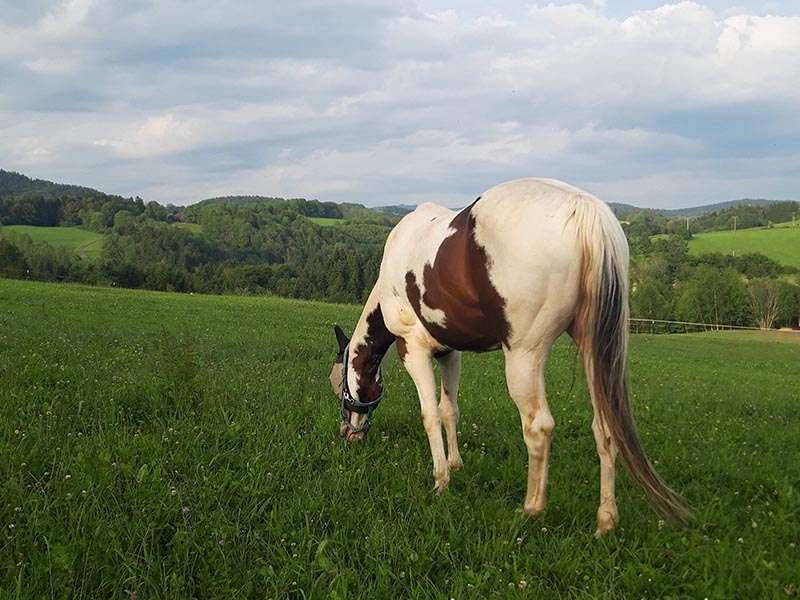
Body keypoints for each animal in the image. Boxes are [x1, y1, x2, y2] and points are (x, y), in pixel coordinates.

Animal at [328, 178, 692, 536]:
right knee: (604, 425)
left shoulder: (413, 350)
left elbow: (430, 415)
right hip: (593, 350)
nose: (349, 434)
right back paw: (605, 522)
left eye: (338, 386)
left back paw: (531, 509)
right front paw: (456, 464)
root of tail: (584, 209)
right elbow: (449, 410)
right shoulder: (450, 353)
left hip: (524, 357)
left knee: (539, 427)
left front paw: (441, 480)